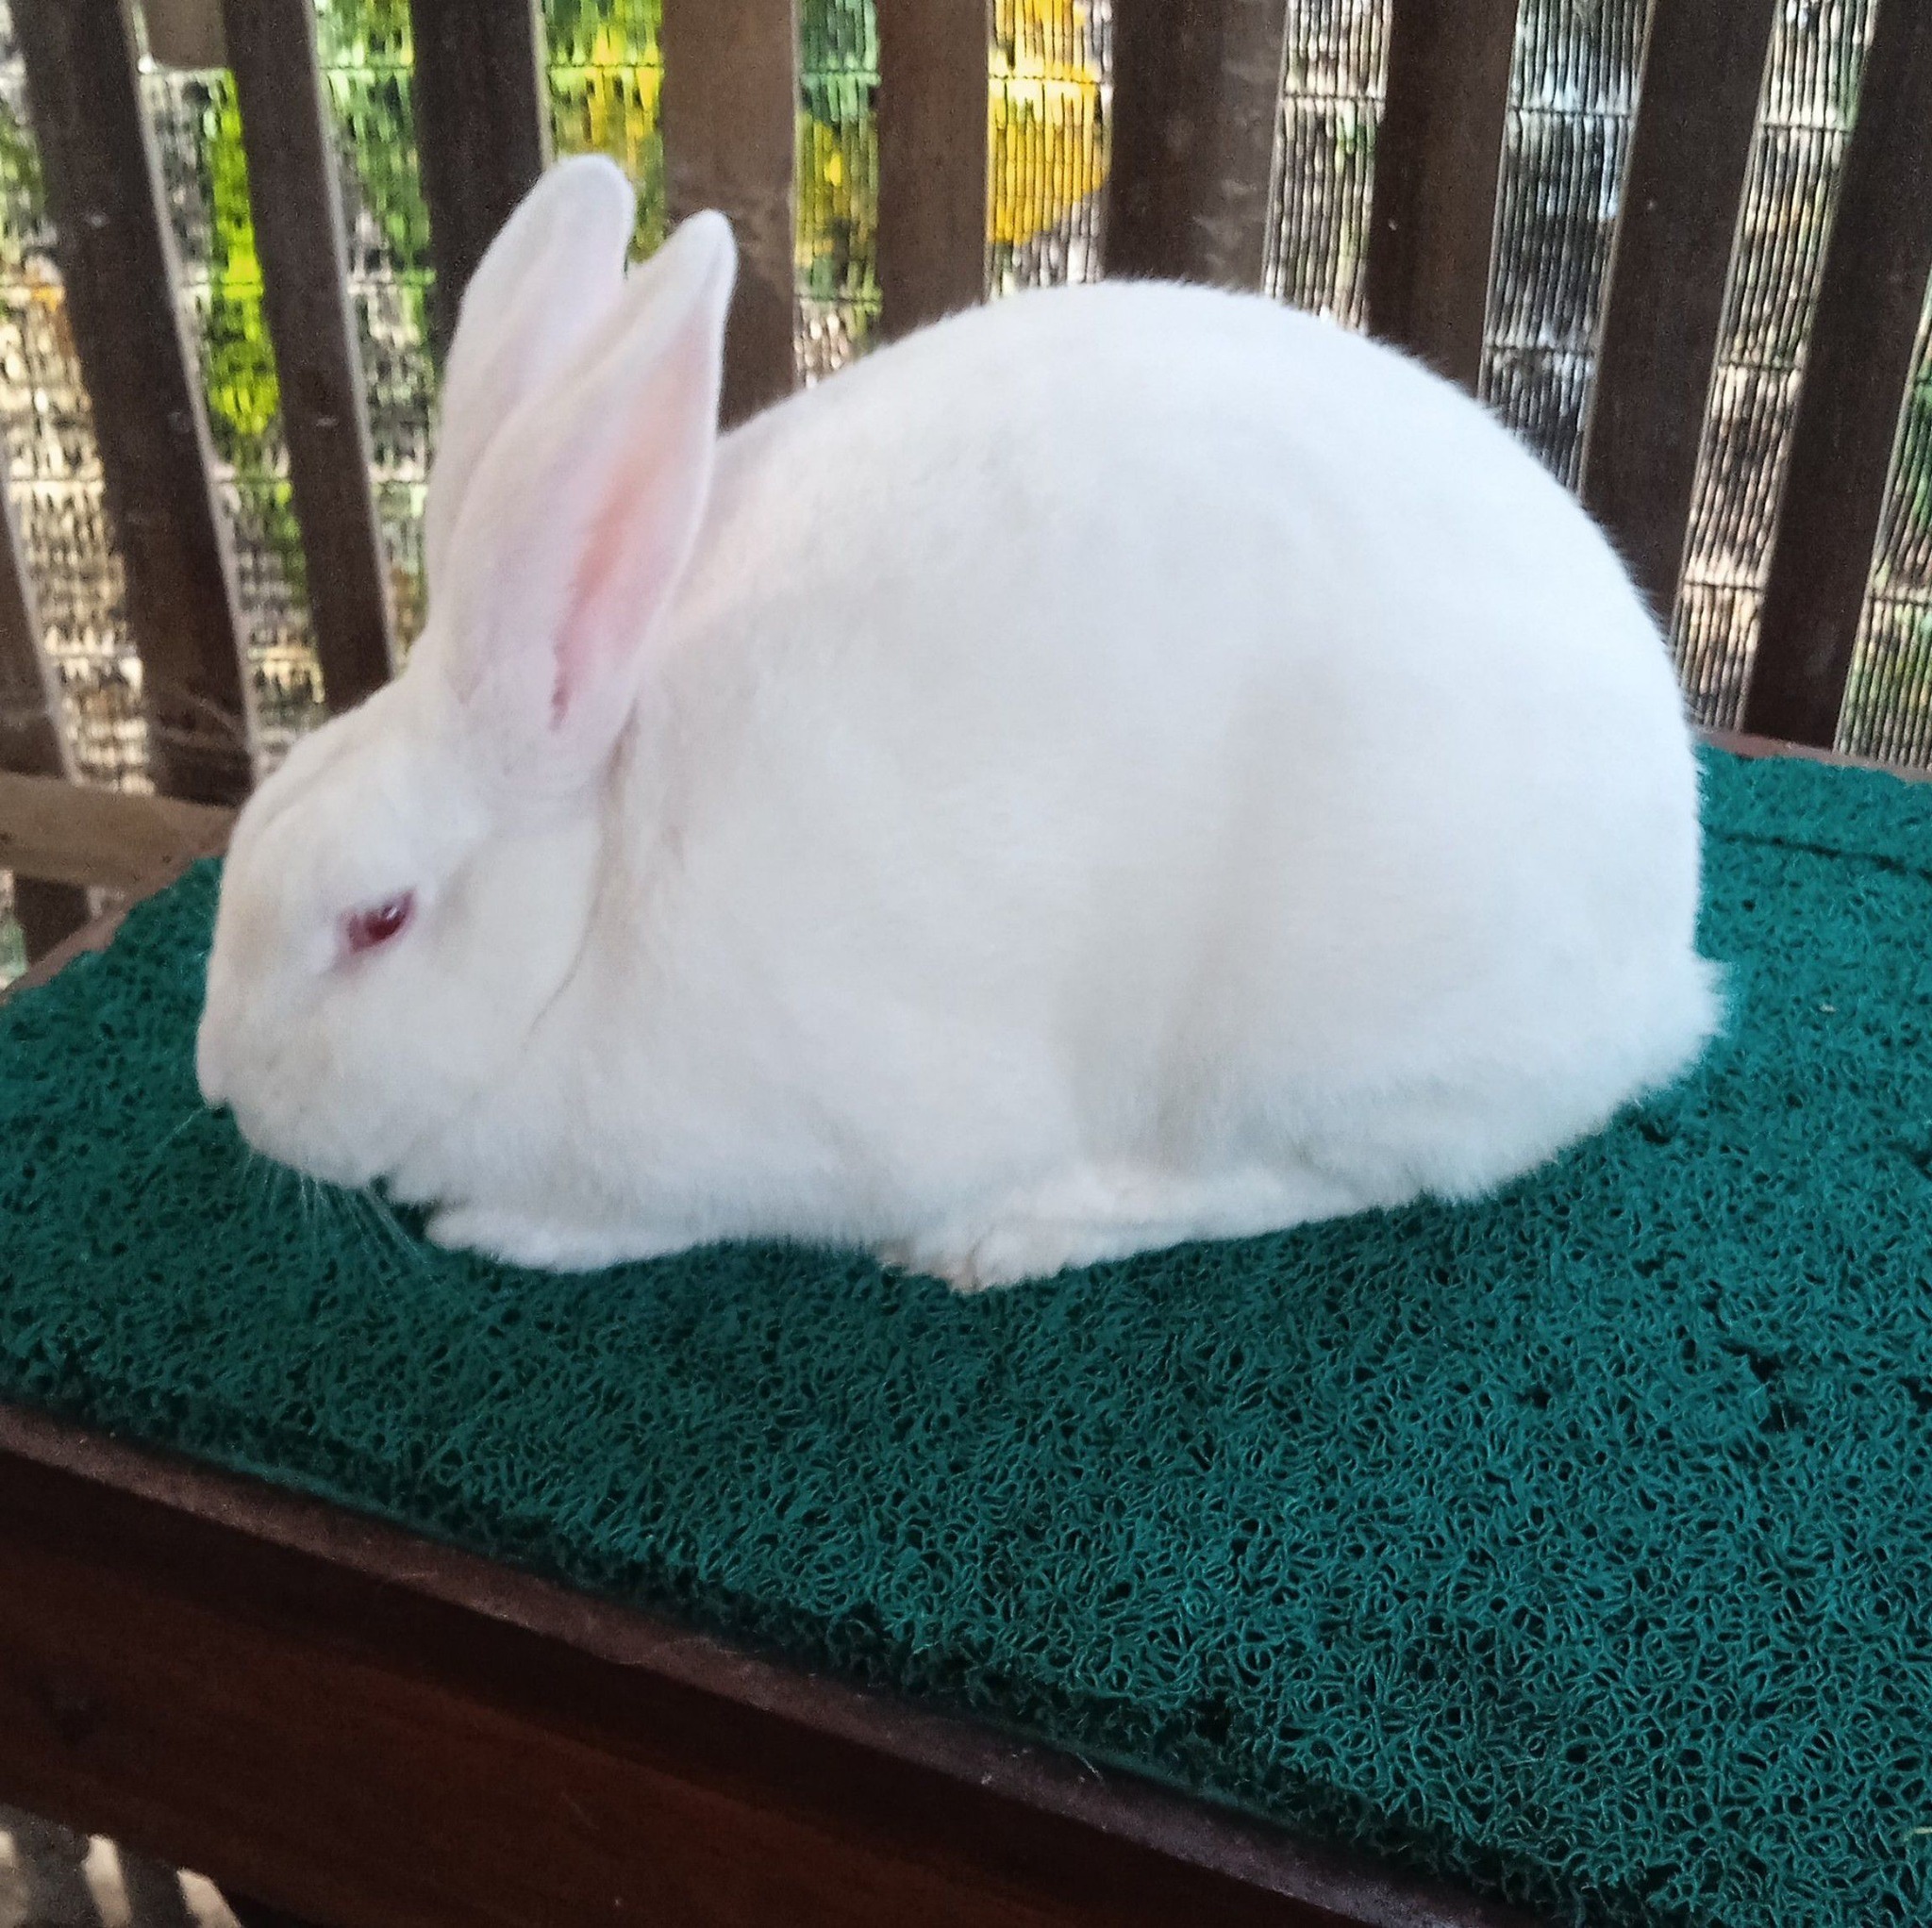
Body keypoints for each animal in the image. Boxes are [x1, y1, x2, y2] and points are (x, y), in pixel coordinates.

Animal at [196, 154, 1720, 1292]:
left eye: (378, 920)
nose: (217, 1090)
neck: (587, 910)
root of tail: (1660, 978)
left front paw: (516, 1228)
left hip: (1316, 1031)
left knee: (1321, 1178)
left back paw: (1026, 1228)